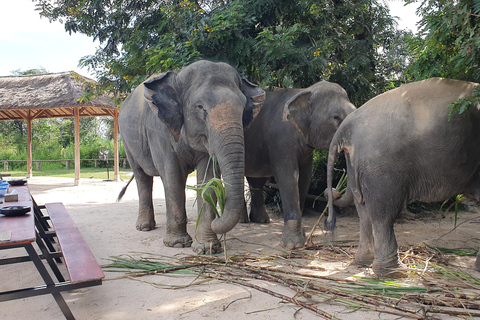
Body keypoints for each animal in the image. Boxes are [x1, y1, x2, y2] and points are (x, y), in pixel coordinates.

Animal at [117, 60, 264, 254]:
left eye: (242, 108)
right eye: (200, 107)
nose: (219, 219)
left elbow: (208, 180)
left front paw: (207, 247)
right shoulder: (159, 131)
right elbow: (173, 177)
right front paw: (178, 244)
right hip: (127, 142)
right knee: (142, 177)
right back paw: (144, 227)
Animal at [242, 80, 358, 250]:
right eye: (336, 117)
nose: (334, 192)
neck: (305, 91)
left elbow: (304, 179)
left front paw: (302, 237)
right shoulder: (281, 140)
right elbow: (288, 176)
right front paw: (293, 245)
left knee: (256, 179)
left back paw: (260, 221)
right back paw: (242, 220)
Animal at [326, 77, 480, 276]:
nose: (335, 191)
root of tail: (346, 125)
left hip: (358, 166)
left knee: (364, 211)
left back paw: (364, 263)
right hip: (381, 167)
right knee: (384, 213)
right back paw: (393, 272)